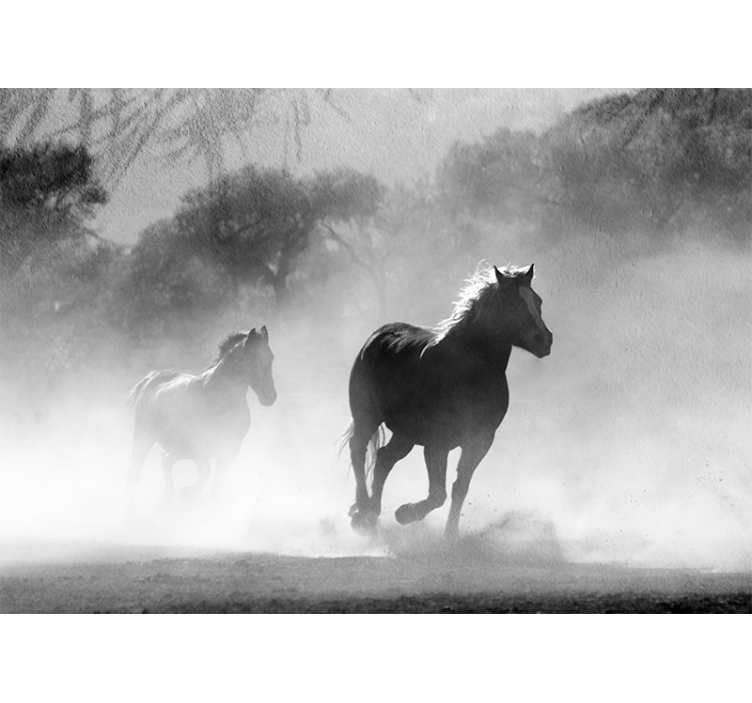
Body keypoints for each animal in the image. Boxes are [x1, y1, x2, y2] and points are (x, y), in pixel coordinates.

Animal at [127, 326, 276, 508]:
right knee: (135, 471)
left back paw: (166, 498)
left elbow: (216, 486)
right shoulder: (197, 447)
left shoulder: (230, 449)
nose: (270, 397)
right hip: (144, 437)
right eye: (252, 358)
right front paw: (187, 493)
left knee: (165, 460)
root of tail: (152, 378)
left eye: (271, 357)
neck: (219, 398)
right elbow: (206, 472)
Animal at [345, 263, 552, 539]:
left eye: (537, 301)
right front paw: (405, 513)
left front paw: (450, 535)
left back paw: (372, 514)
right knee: (359, 451)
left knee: (383, 458)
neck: (467, 371)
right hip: (367, 417)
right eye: (511, 303)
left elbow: (459, 487)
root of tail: (377, 336)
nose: (545, 340)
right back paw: (362, 511)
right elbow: (437, 494)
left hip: (405, 434)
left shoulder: (480, 440)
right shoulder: (437, 443)